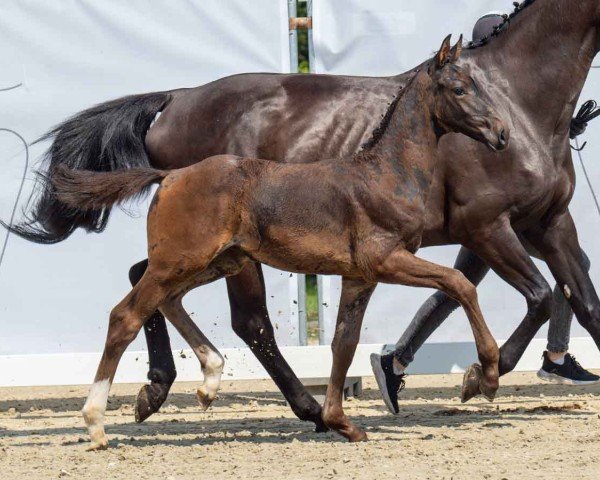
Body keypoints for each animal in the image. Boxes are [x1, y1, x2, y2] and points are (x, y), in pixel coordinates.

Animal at [54, 36, 508, 446]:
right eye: (459, 88)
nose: (503, 134)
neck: (384, 173)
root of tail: (170, 176)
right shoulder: (386, 260)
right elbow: (459, 283)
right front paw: (485, 375)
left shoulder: (359, 277)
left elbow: (344, 343)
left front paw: (341, 423)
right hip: (180, 261)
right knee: (126, 316)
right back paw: (96, 423)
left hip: (217, 262)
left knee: (168, 301)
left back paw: (208, 379)